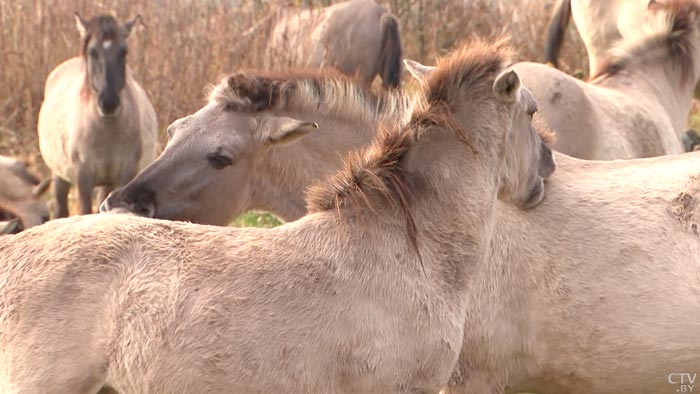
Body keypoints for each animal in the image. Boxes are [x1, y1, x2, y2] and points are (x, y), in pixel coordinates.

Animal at [37, 14, 159, 219]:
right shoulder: (83, 177)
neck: (106, 128)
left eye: (124, 52)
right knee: (61, 208)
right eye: (92, 52)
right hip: (59, 175)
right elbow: (85, 211)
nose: (108, 103)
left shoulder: (125, 175)